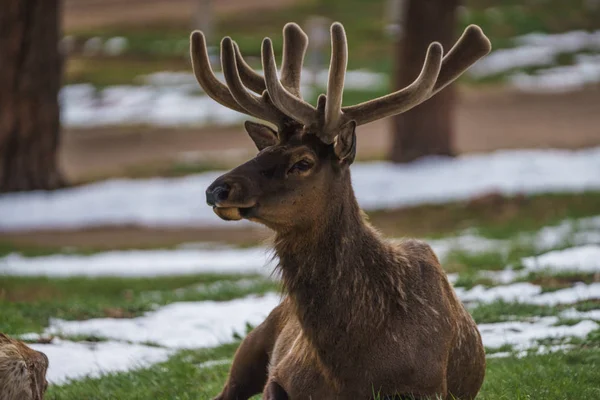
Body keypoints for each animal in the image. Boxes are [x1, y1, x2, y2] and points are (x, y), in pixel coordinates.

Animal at [192, 21, 492, 400]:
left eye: (302, 162)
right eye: (263, 152)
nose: (216, 189)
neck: (350, 369)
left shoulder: (427, 386)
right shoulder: (280, 376)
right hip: (251, 344)